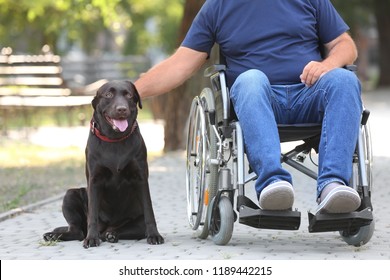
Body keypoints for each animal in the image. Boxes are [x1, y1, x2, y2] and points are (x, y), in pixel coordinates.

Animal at [43, 80, 165, 248]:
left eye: (129, 95)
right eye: (108, 95)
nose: (122, 109)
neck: (115, 139)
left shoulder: (140, 178)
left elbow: (149, 211)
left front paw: (154, 235)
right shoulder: (94, 179)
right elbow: (93, 214)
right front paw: (92, 238)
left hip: (135, 223)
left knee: (120, 229)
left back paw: (111, 234)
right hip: (70, 195)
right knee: (77, 231)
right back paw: (55, 235)